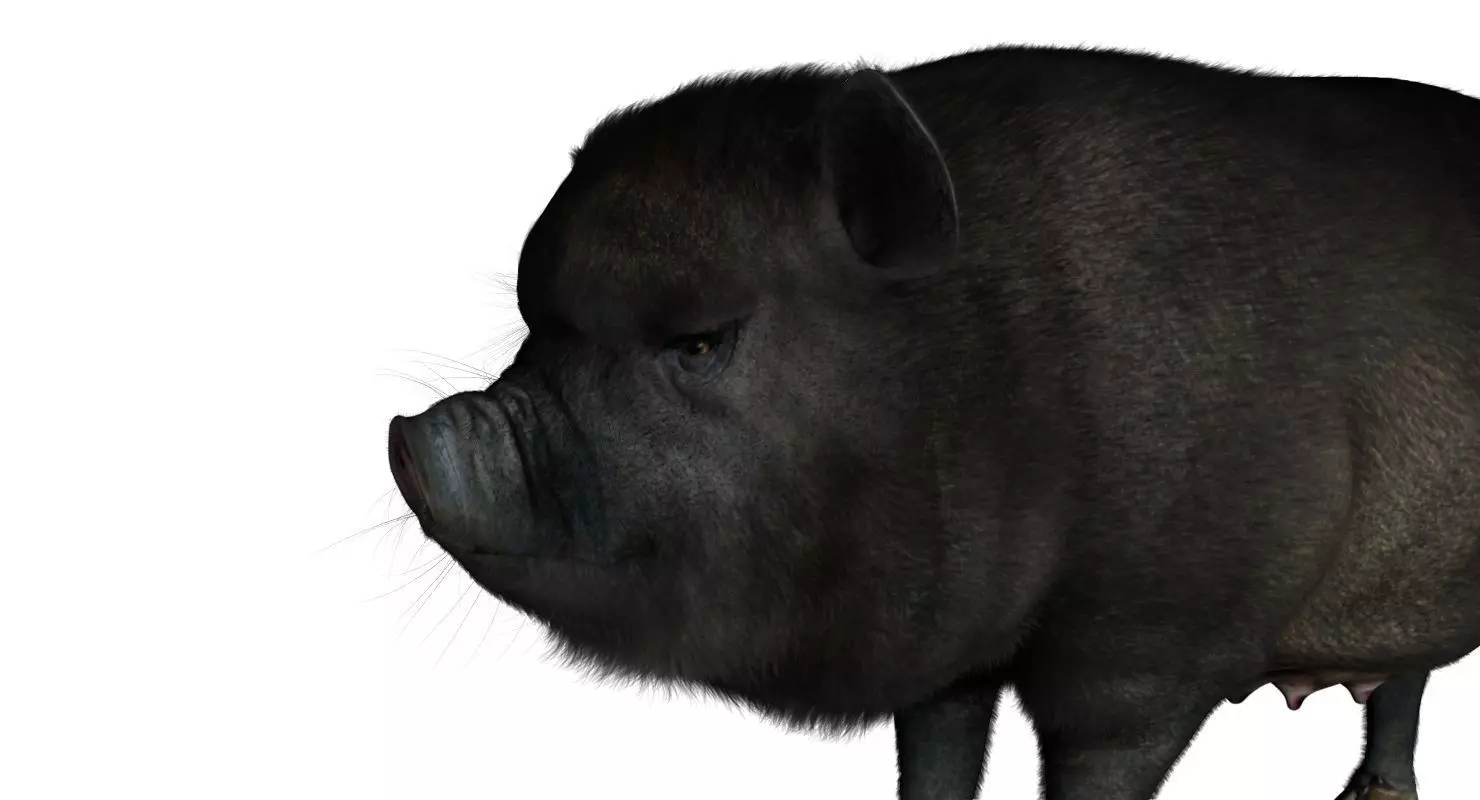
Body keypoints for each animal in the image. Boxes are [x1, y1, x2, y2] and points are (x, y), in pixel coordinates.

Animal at [385, 45, 1480, 800]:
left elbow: (1100, 755)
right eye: (536, 323)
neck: (995, 369)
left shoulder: (1152, 643)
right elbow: (938, 751)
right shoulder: (952, 656)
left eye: (699, 341)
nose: (411, 436)